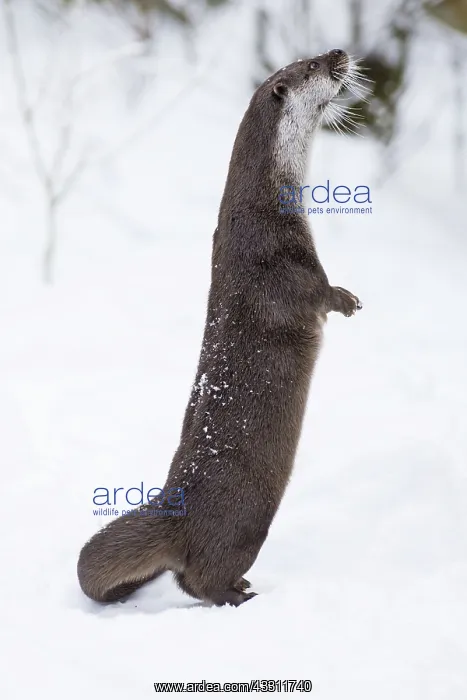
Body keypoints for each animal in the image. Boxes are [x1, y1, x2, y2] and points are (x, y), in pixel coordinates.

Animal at [78, 48, 362, 607]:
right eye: (312, 64)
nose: (340, 54)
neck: (263, 207)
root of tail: (177, 511)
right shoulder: (276, 261)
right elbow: (313, 295)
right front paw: (347, 300)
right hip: (245, 522)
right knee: (199, 579)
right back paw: (241, 594)